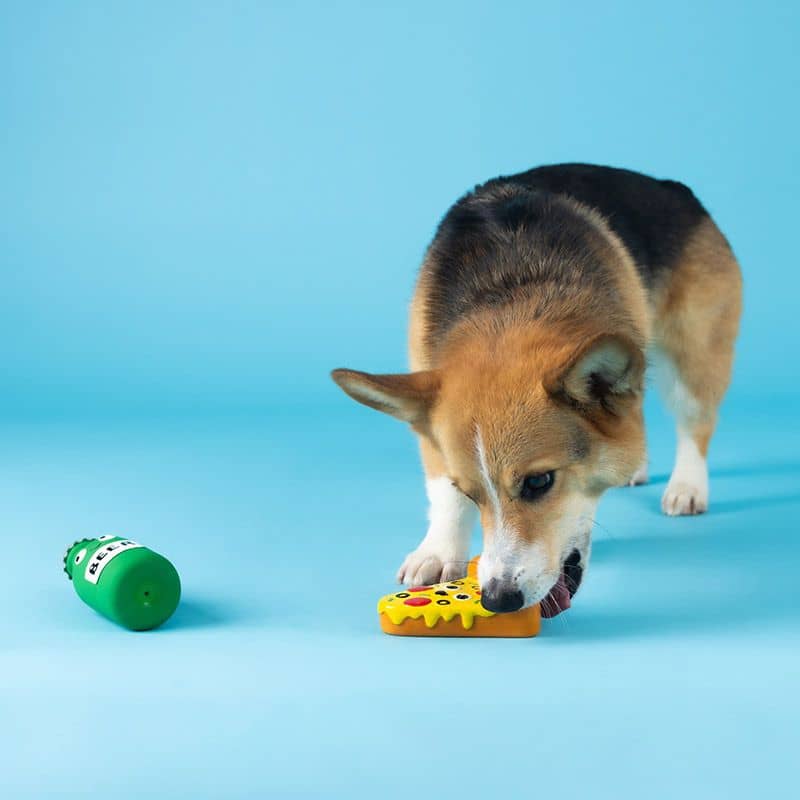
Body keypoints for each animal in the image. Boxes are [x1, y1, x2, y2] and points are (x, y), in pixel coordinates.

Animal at [330, 161, 736, 612]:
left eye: (538, 482)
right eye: (468, 492)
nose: (497, 600)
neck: (509, 299)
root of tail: (674, 188)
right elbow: (441, 493)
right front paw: (437, 552)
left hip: (692, 355)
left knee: (694, 421)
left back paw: (687, 486)